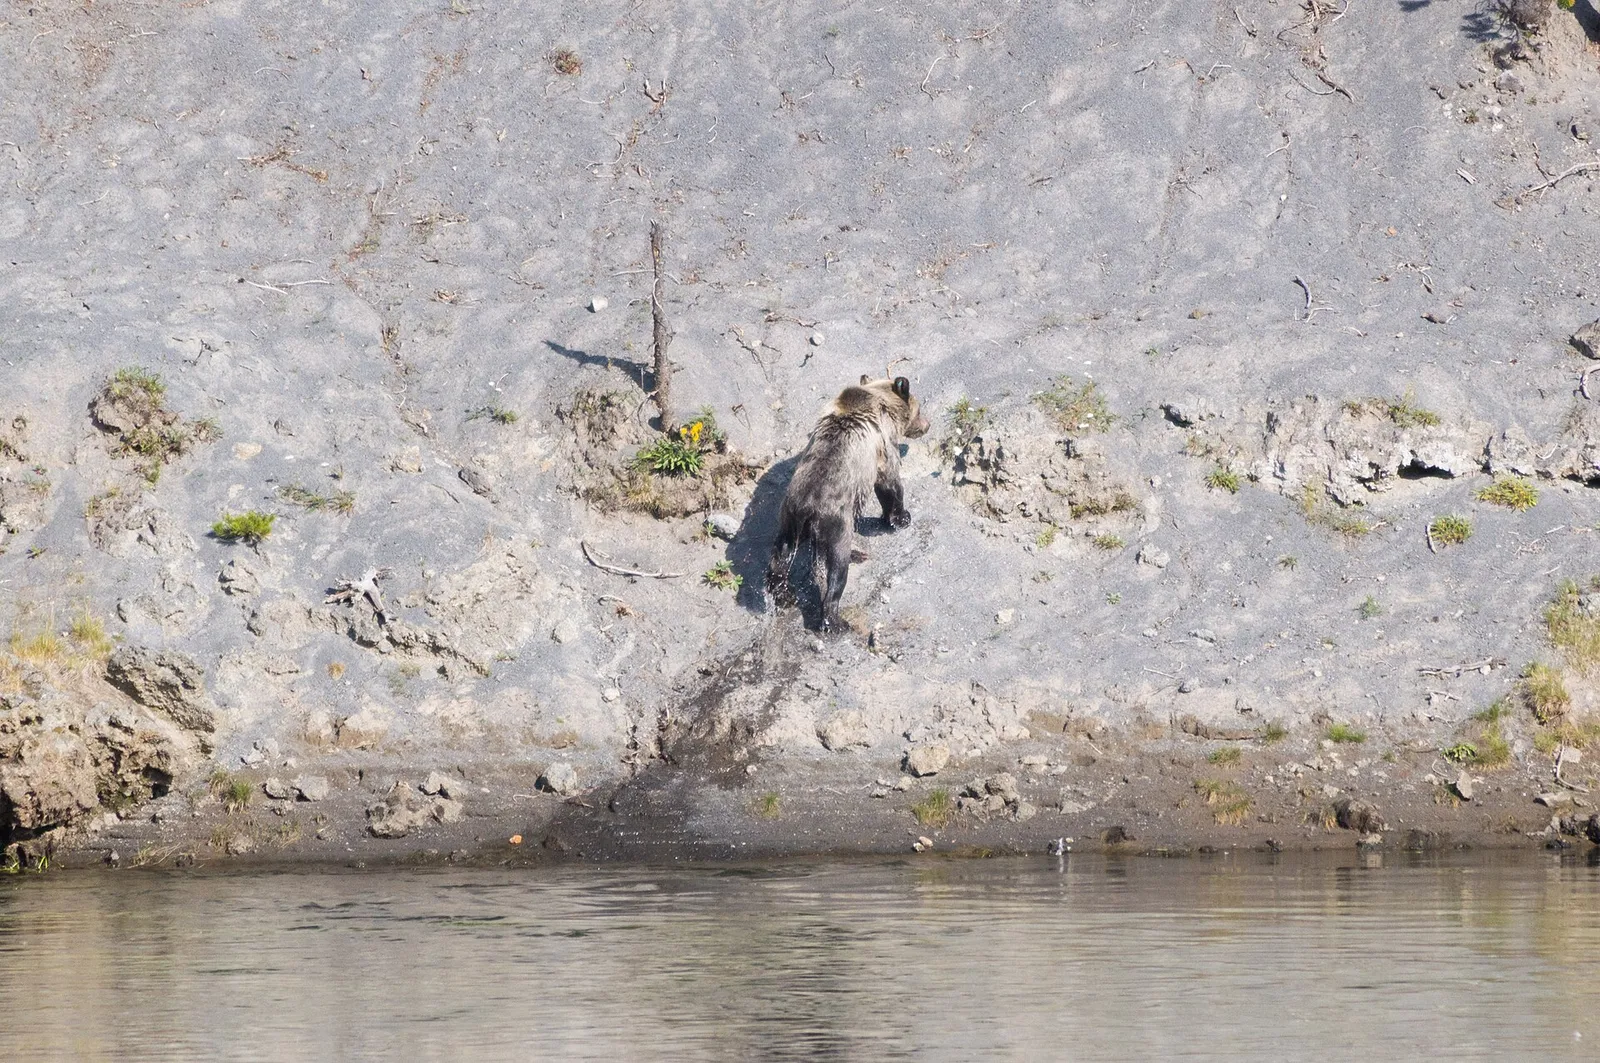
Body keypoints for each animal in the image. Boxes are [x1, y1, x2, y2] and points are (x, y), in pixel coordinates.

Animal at [767, 374, 931, 633]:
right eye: (919, 408)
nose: (927, 425)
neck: (881, 402)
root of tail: (807, 507)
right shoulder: (882, 446)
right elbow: (889, 482)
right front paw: (901, 517)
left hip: (788, 518)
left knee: (780, 556)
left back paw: (783, 594)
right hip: (836, 519)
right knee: (837, 563)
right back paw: (835, 619)